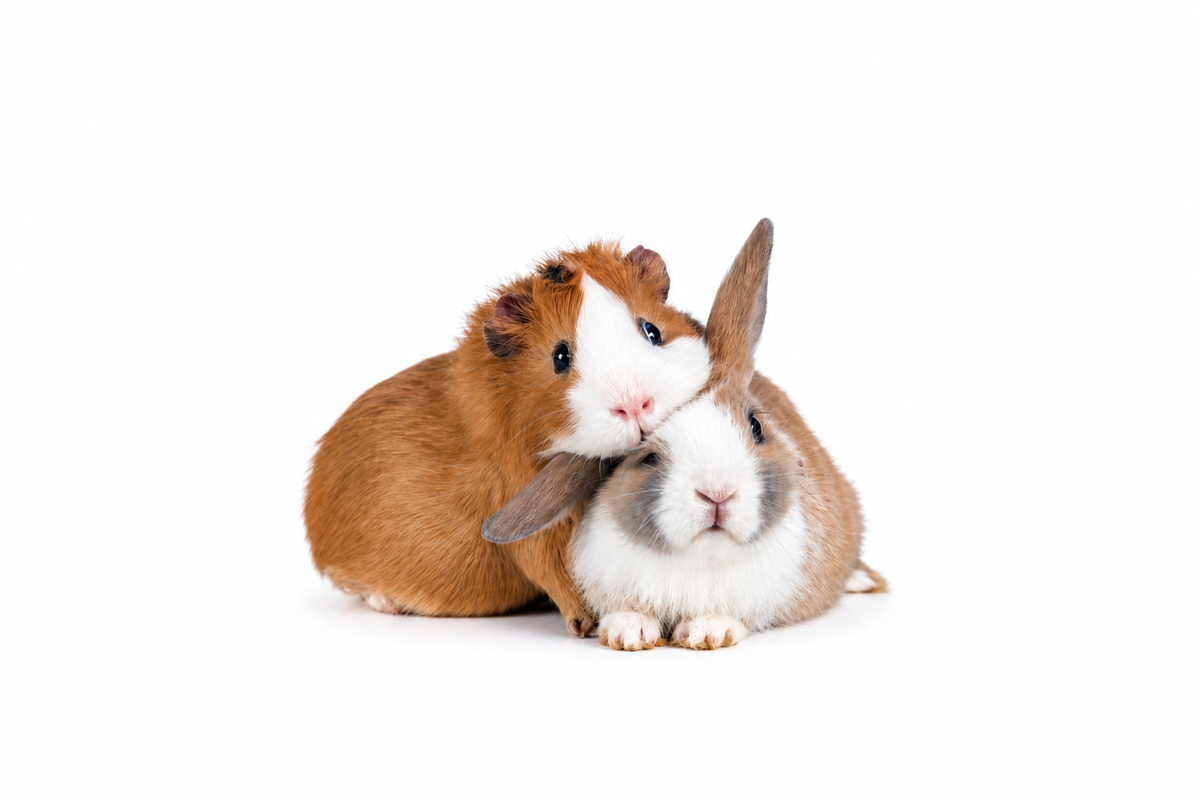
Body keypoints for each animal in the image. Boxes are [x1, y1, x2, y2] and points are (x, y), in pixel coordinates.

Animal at [304, 238, 713, 636]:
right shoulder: (531, 522)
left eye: (652, 330)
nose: (635, 405)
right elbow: (559, 570)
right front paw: (593, 624)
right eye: (560, 357)